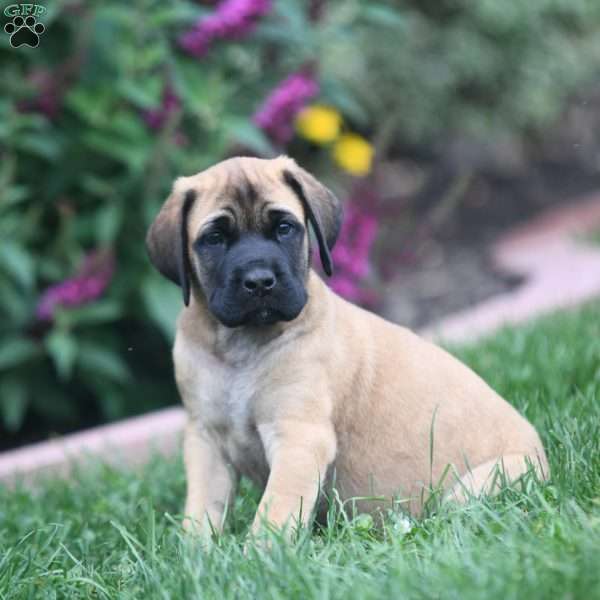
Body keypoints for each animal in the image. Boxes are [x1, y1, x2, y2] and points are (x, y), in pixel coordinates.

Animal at [145, 156, 548, 540]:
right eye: (214, 238)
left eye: (284, 228)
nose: (259, 281)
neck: (239, 345)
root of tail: (542, 456)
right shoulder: (206, 441)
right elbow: (201, 512)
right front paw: (196, 557)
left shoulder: (299, 438)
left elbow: (275, 512)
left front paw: (257, 558)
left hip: (476, 488)